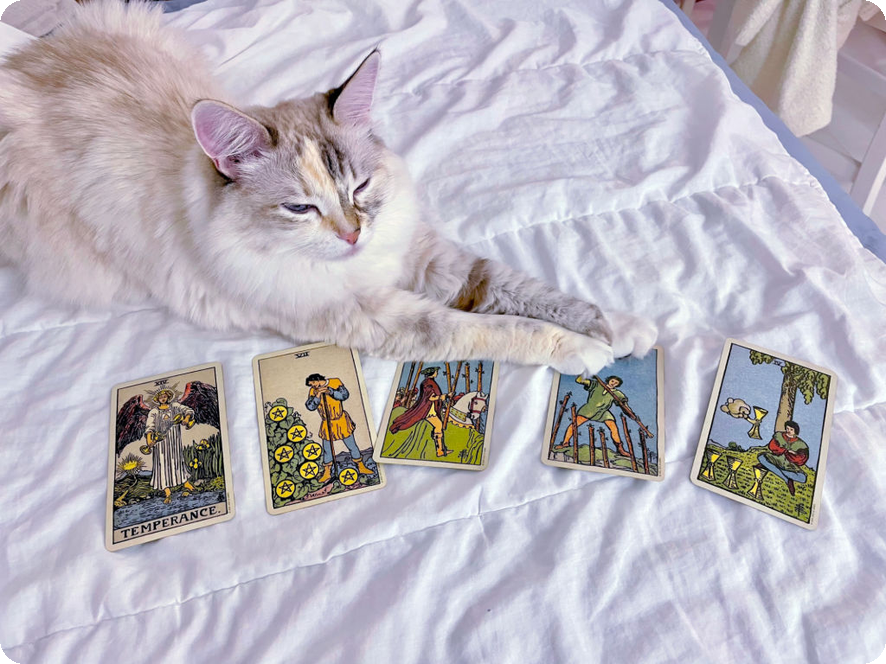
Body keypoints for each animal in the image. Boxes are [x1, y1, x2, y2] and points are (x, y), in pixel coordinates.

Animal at [0, 0, 655, 375]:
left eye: (359, 187)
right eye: (299, 208)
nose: (351, 235)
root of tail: (20, 65)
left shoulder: (426, 257)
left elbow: (532, 293)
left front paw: (623, 329)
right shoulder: (382, 316)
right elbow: (498, 328)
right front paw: (582, 352)